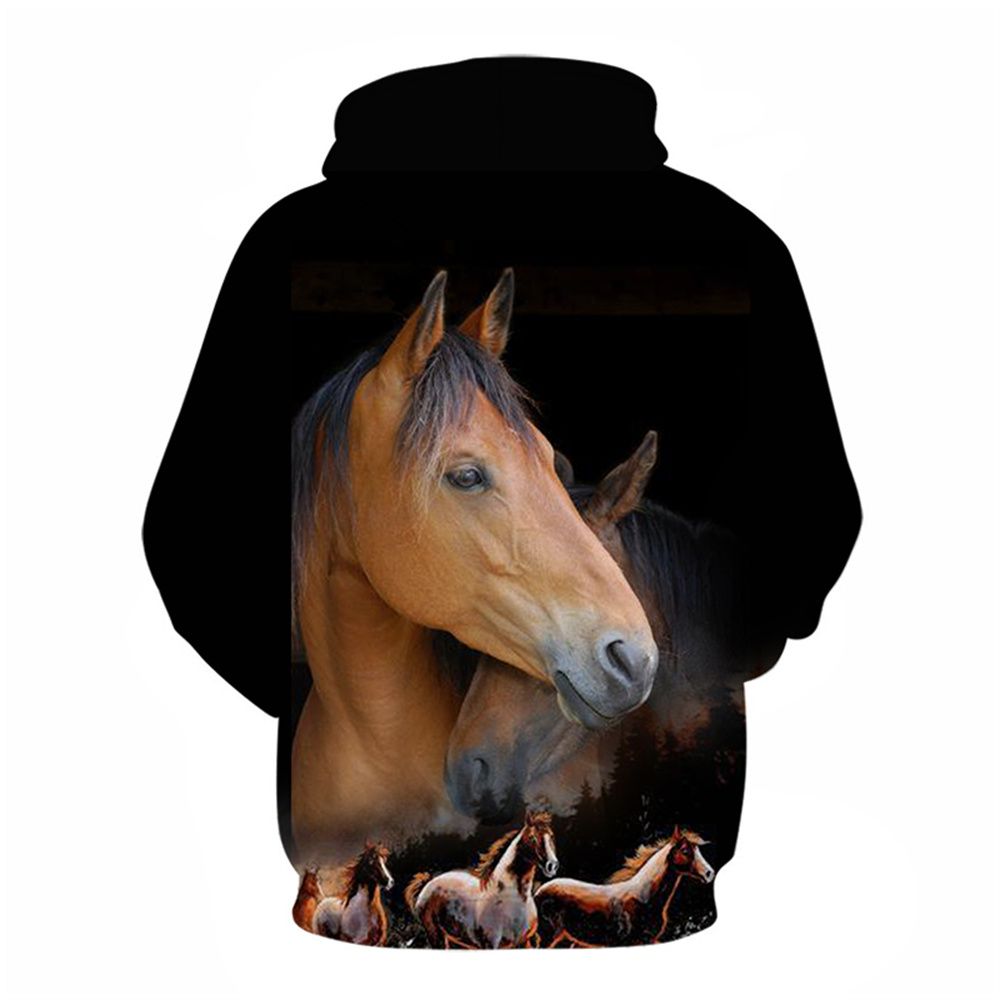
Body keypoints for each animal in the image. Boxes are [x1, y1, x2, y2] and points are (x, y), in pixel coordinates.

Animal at [405, 809, 559, 949]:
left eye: (551, 836)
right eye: (532, 837)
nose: (552, 865)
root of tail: (427, 884)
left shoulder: (526, 942)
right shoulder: (491, 945)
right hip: (436, 937)